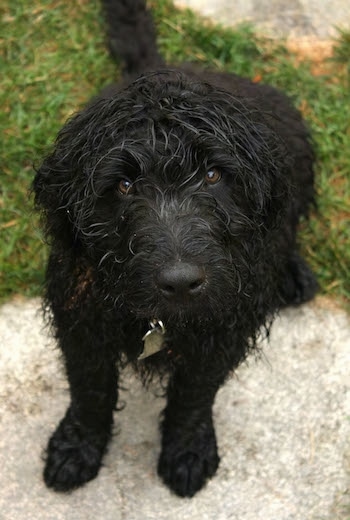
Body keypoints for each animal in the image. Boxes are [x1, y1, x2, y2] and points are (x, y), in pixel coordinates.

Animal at [32, 0, 318, 498]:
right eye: (124, 185)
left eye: (213, 175)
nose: (182, 283)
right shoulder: (81, 318)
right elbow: (90, 389)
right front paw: (78, 446)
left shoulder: (223, 328)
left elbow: (194, 395)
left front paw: (187, 450)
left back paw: (292, 273)